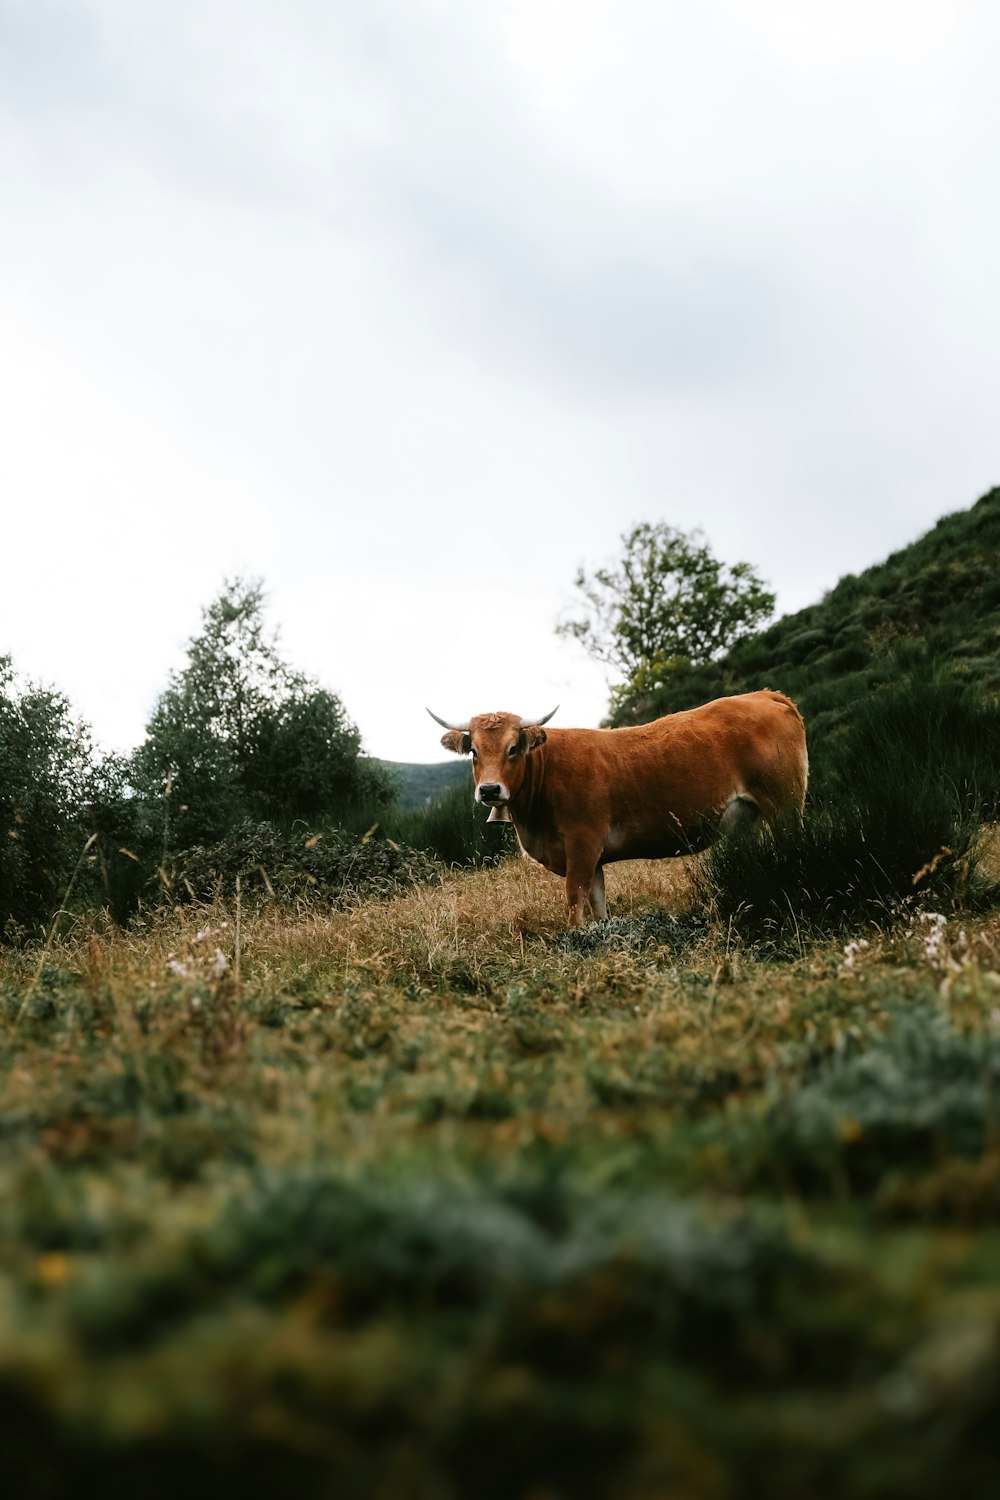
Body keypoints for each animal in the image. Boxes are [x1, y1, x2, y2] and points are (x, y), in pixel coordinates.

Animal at [425, 690, 809, 924]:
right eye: (474, 751)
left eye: (513, 748)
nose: (490, 789)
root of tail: (763, 695)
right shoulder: (591, 857)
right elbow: (597, 902)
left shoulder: (583, 843)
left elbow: (574, 898)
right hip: (749, 819)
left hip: (785, 804)